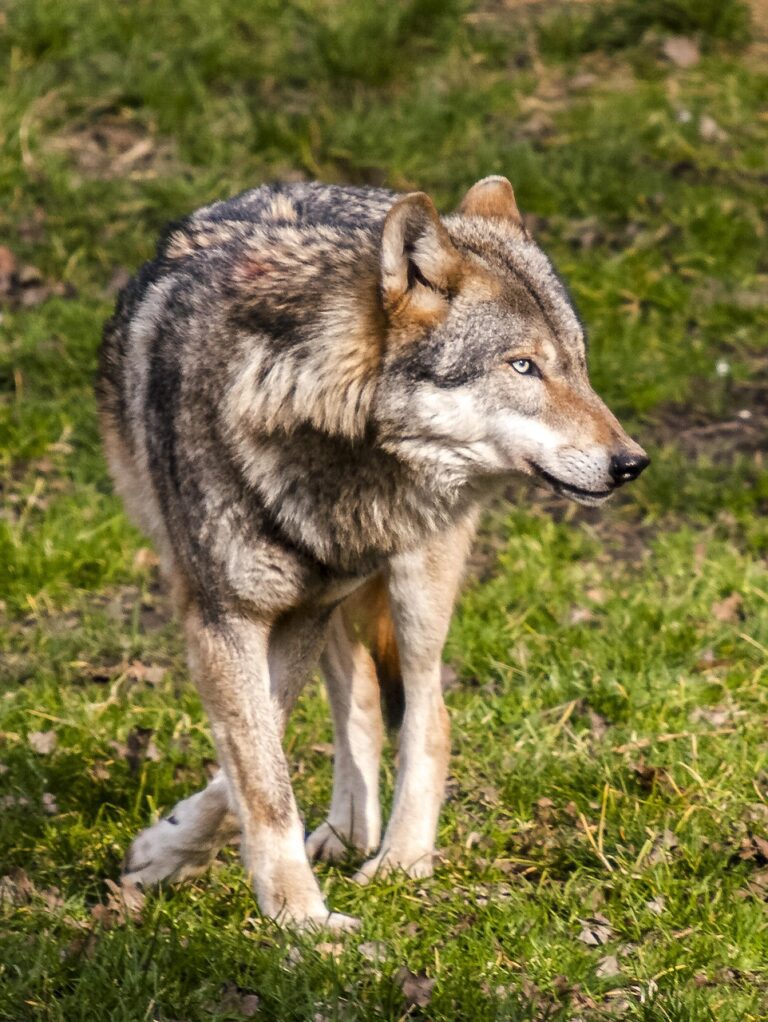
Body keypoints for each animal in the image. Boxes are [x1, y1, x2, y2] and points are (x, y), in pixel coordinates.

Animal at [97, 176, 648, 931]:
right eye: (523, 366)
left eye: (579, 366)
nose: (632, 463)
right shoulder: (230, 617)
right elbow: (261, 772)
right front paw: (293, 910)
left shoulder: (294, 617)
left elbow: (260, 755)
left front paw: (273, 905)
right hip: (344, 599)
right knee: (357, 693)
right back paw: (349, 831)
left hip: (415, 583)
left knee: (430, 713)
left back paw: (401, 860)